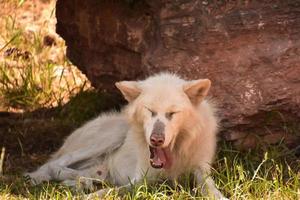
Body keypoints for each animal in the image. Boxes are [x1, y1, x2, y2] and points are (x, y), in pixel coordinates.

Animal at [26, 72, 227, 199]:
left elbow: (211, 188)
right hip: (113, 134)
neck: (176, 153)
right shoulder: (142, 180)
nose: (156, 139)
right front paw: (88, 196)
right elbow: (110, 192)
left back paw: (86, 181)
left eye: (172, 113)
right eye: (150, 111)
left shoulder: (201, 170)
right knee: (53, 165)